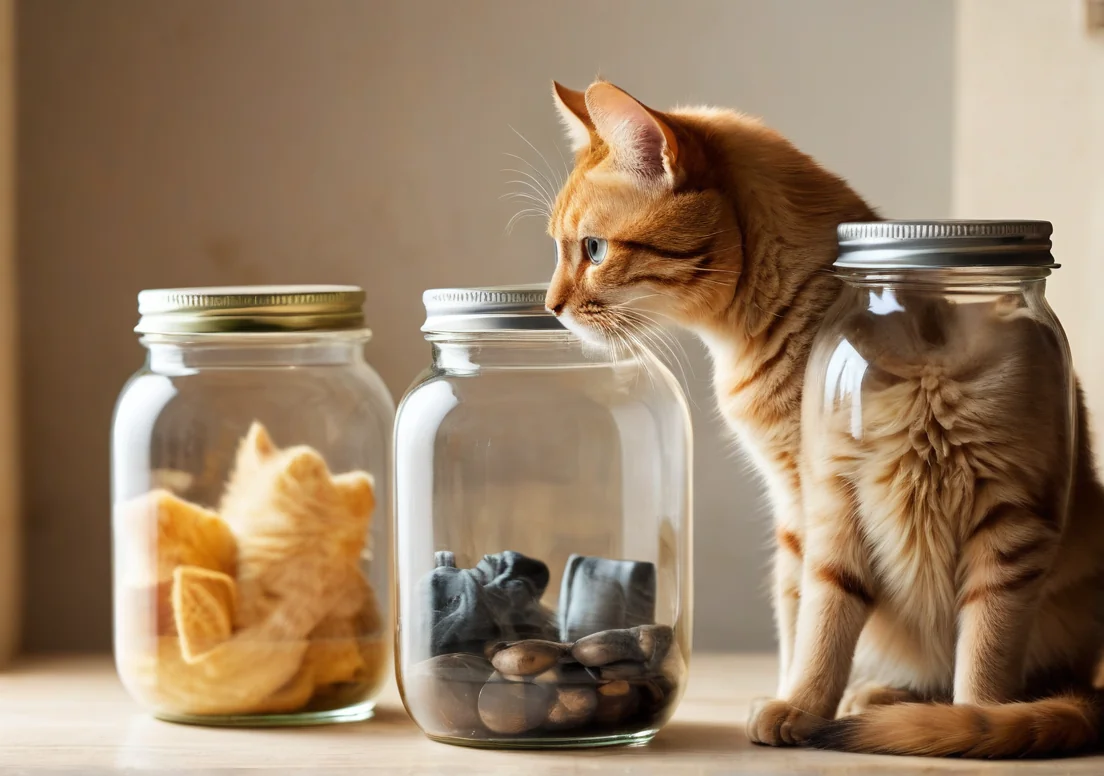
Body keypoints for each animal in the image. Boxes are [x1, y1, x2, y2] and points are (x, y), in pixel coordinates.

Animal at [540, 80, 1104, 759]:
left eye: (592, 249)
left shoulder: (999, 508)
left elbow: (963, 649)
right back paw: (879, 697)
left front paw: (965, 722)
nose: (550, 306)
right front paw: (800, 700)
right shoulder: (800, 506)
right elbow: (805, 618)